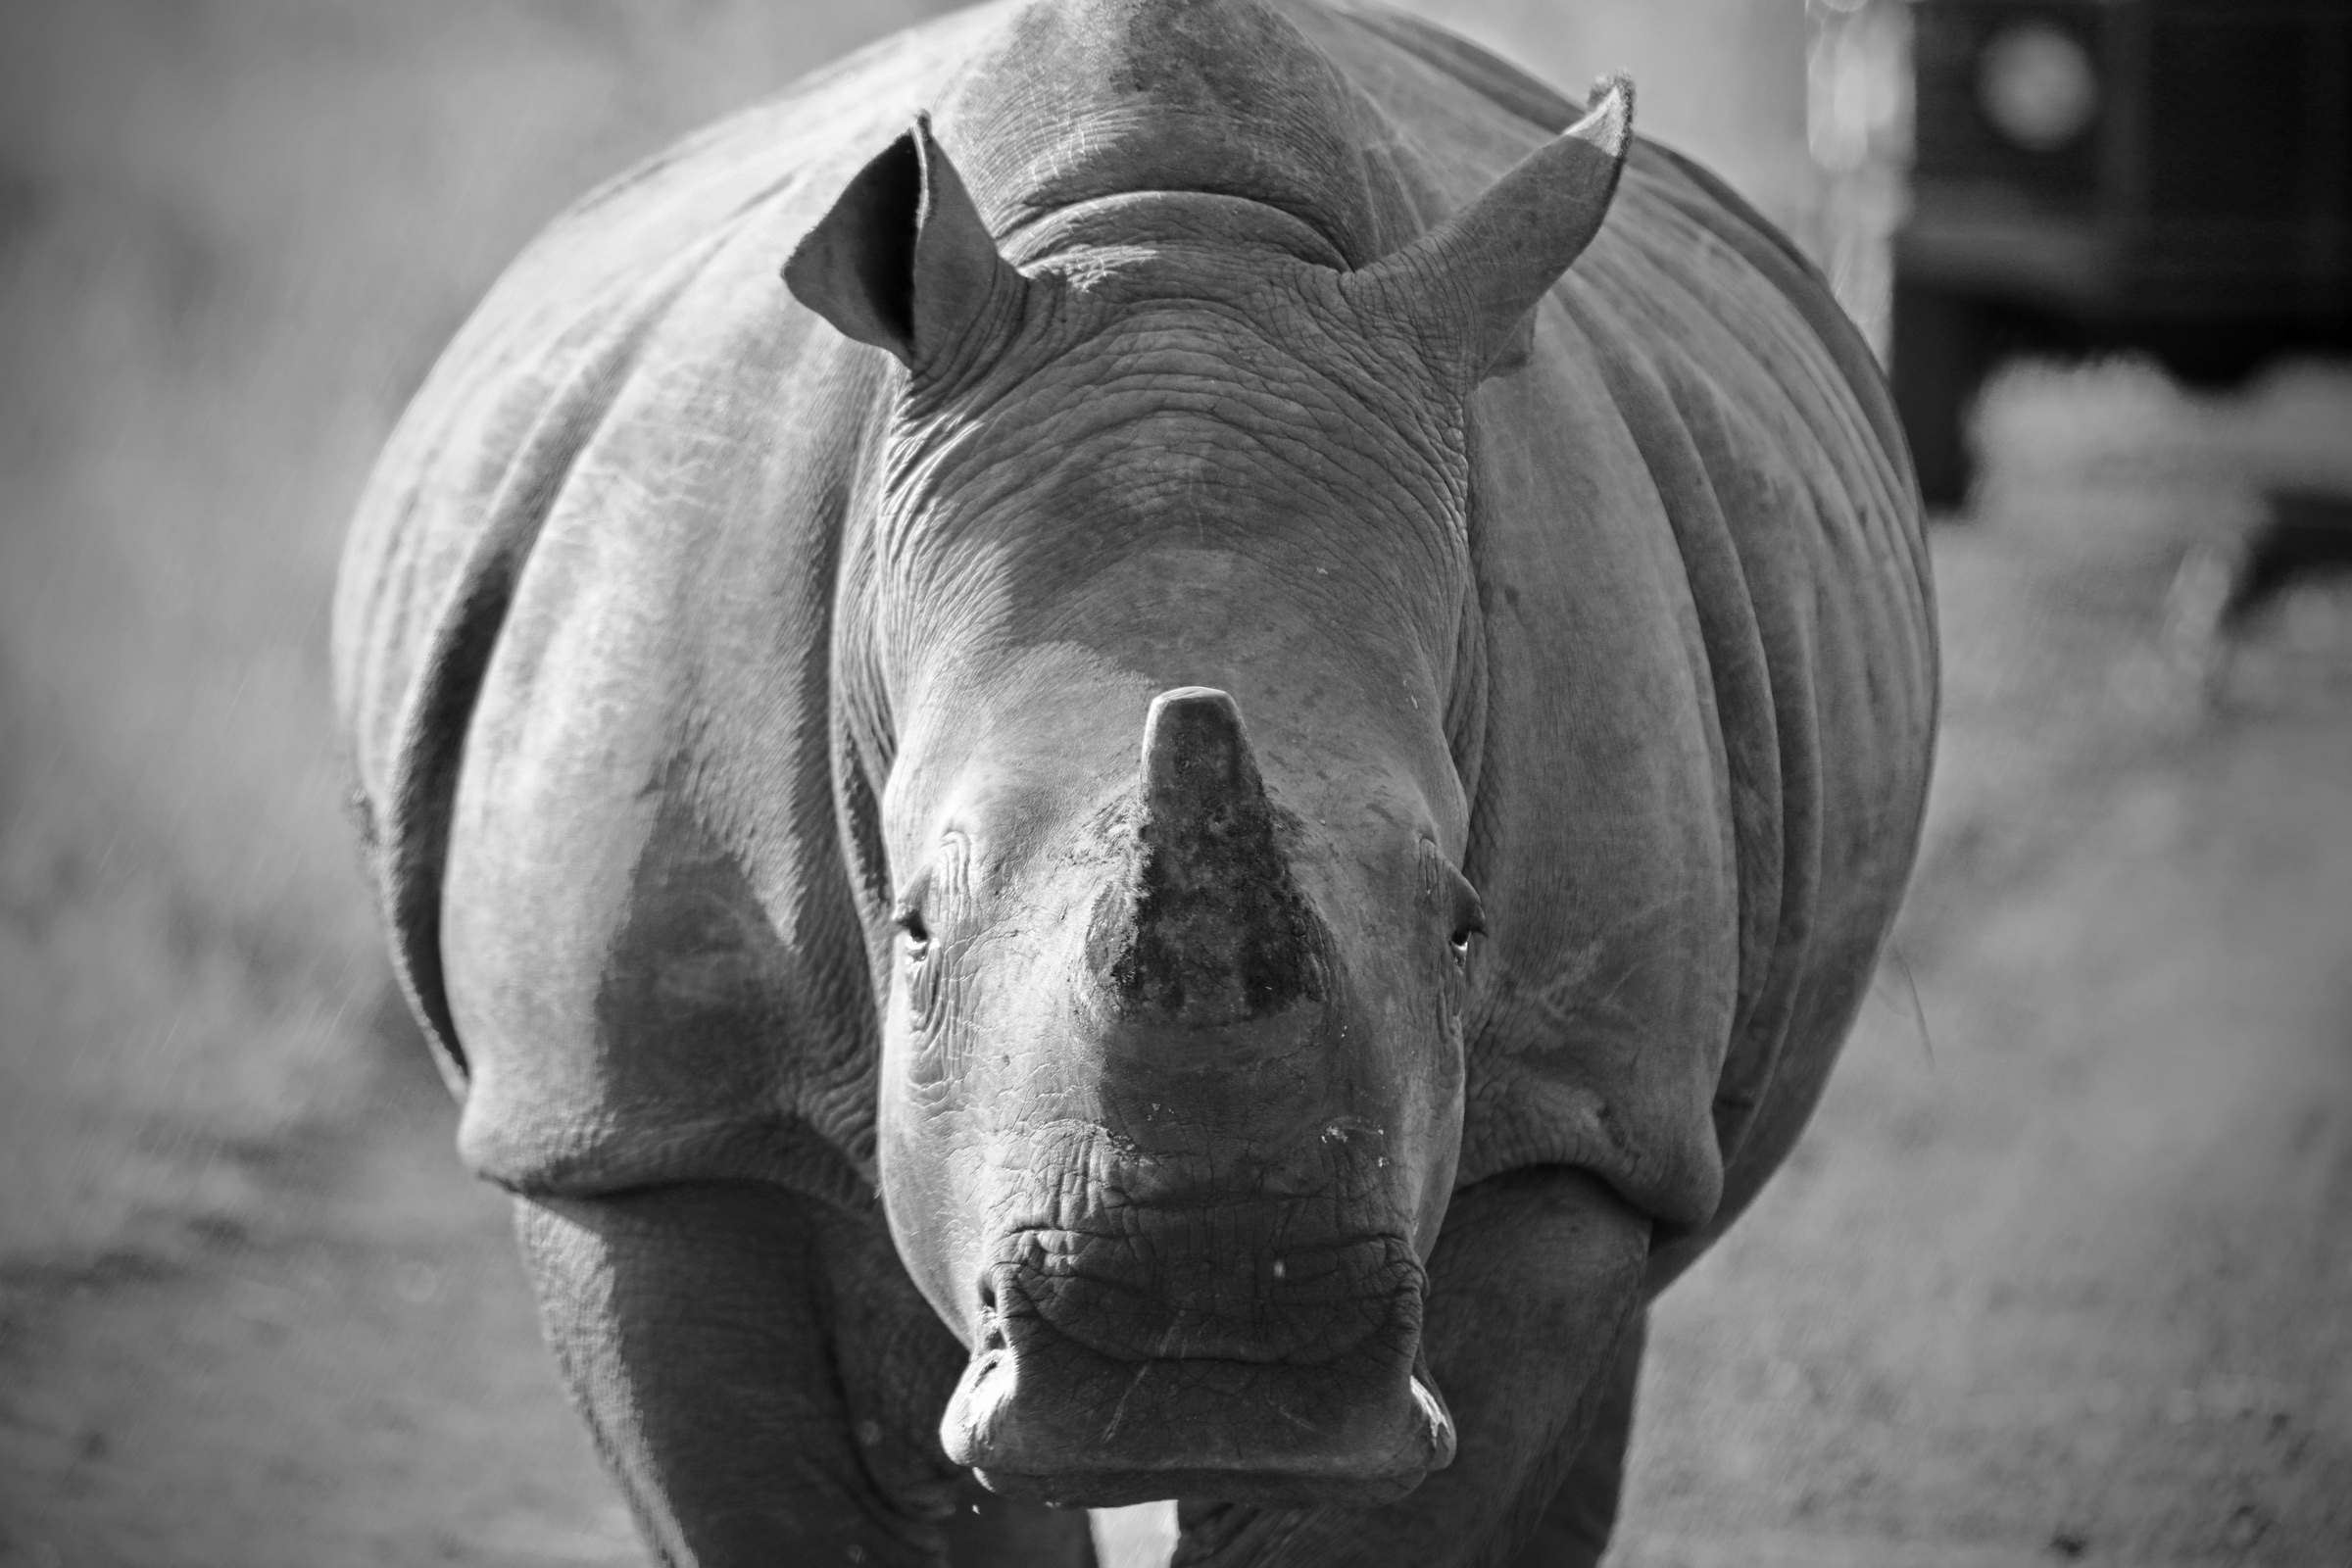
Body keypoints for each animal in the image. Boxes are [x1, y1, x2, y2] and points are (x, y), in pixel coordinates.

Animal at [334, 0, 1936, 1562]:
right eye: (913, 930)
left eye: (1465, 929)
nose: (1207, 1373)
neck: (1157, 238)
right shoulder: (658, 1126)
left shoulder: (1571, 1127)